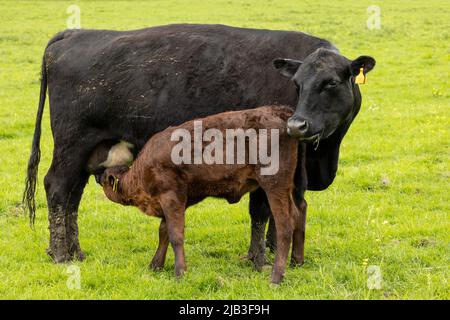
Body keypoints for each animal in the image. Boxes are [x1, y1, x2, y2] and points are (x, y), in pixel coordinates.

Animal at [24, 23, 374, 264]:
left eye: (331, 83)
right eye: (298, 85)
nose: (297, 125)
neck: (323, 157)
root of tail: (76, 34)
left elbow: (281, 211)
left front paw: (279, 251)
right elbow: (261, 211)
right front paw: (259, 259)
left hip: (90, 151)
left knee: (72, 196)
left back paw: (74, 251)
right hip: (72, 144)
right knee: (58, 189)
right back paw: (61, 254)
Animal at [100, 106, 308, 284]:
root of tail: (279, 111)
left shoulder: (171, 197)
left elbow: (175, 235)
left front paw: (180, 272)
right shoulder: (175, 202)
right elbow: (163, 230)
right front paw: (155, 265)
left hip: (275, 186)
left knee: (285, 226)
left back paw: (276, 277)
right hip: (290, 187)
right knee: (300, 211)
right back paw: (296, 262)